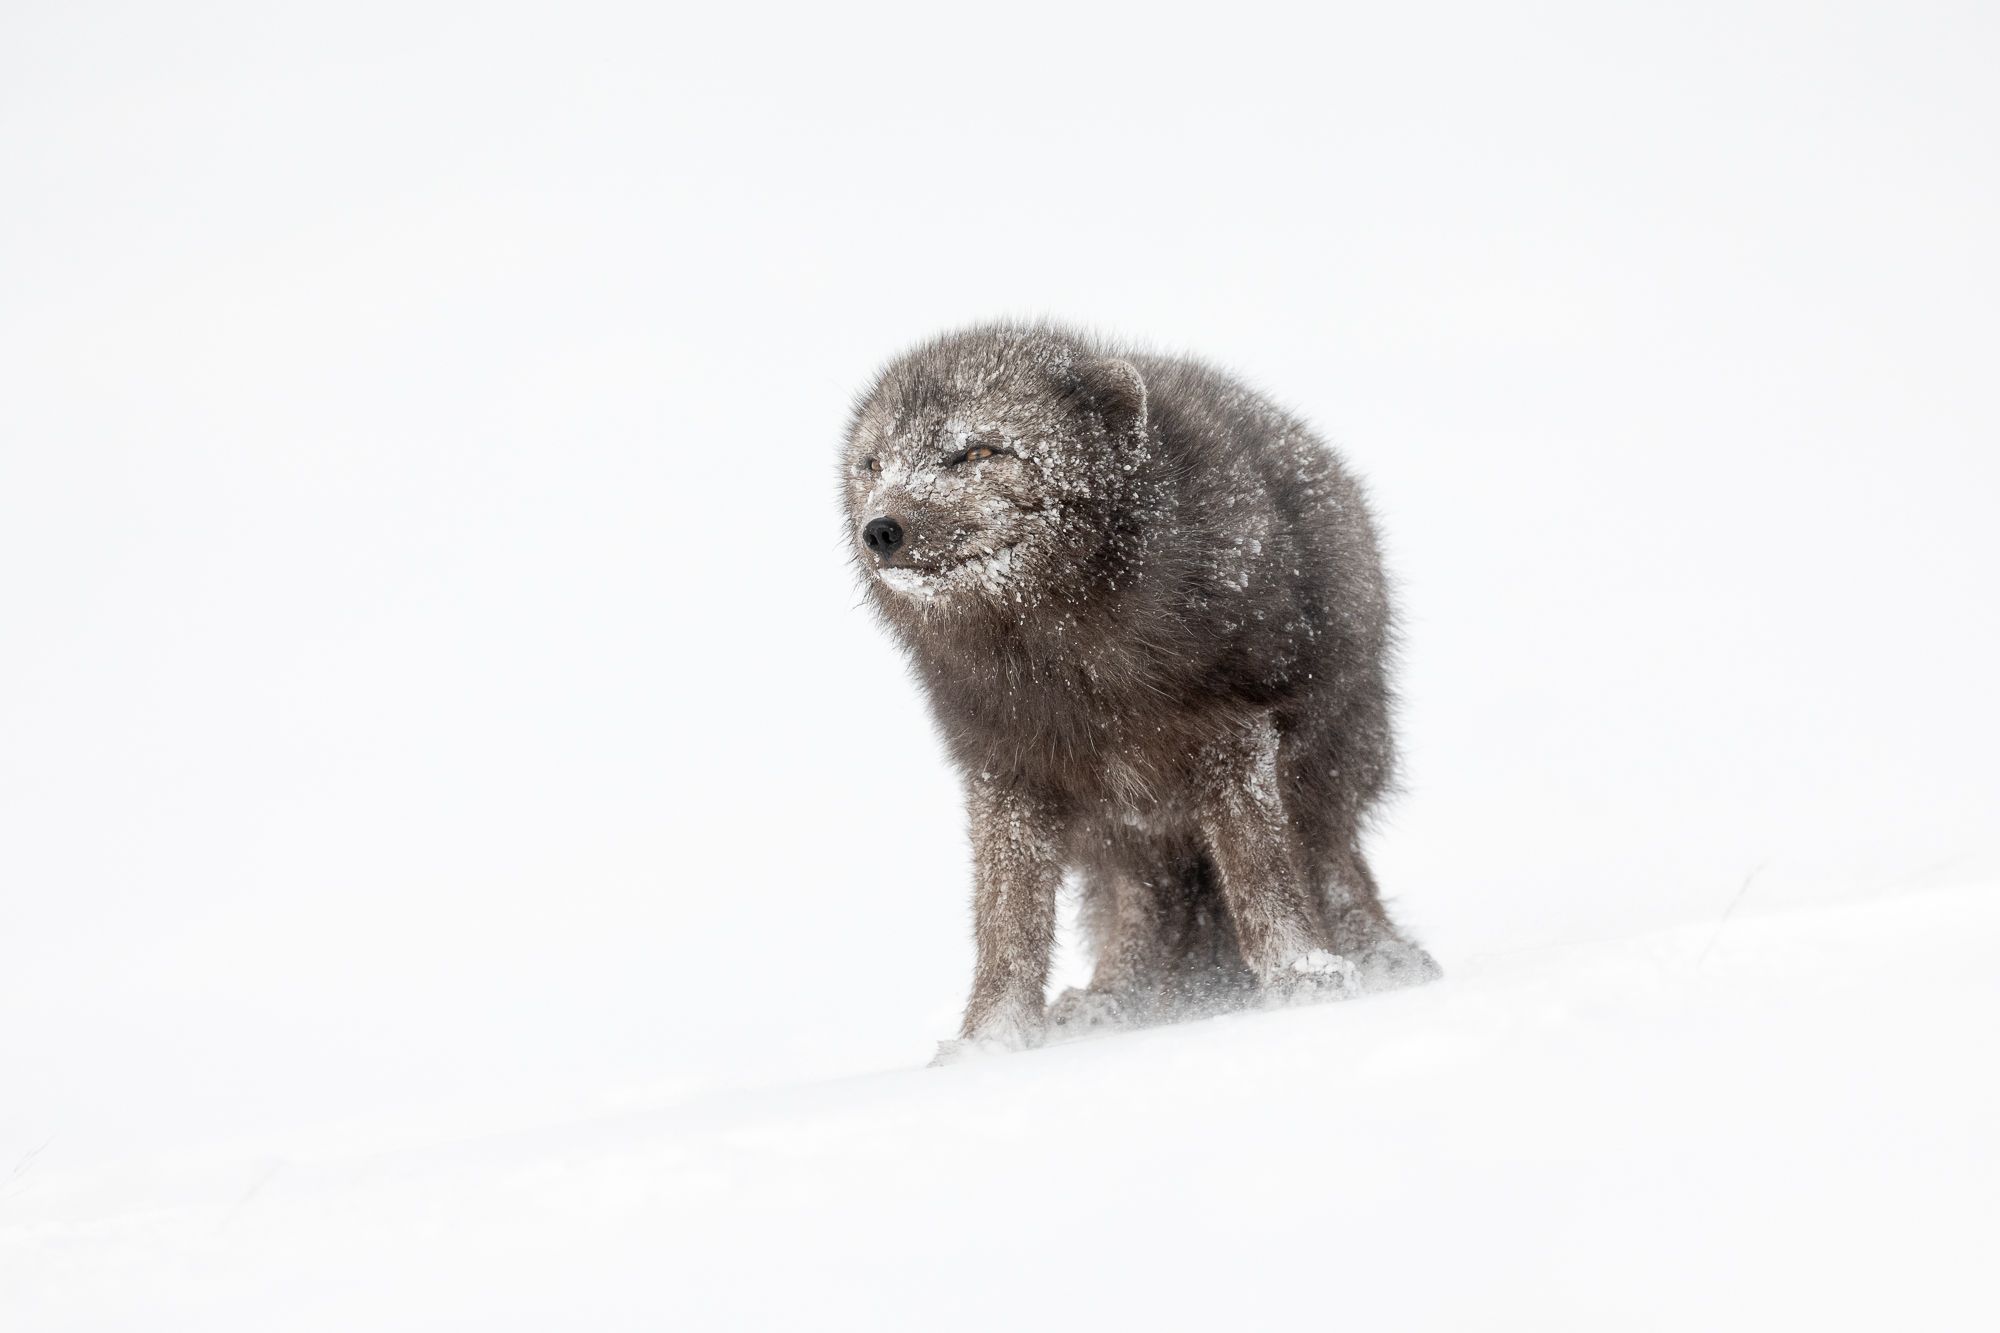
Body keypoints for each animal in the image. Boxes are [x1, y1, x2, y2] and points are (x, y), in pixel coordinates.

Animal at [840, 322, 1440, 1063]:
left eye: (977, 451)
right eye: (872, 465)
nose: (881, 530)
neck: (1068, 670)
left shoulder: (1231, 728)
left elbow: (1264, 870)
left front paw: (1304, 977)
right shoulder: (1004, 765)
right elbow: (1006, 923)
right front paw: (989, 1042)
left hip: (1321, 765)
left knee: (1328, 860)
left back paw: (1381, 957)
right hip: (1123, 825)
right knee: (1144, 905)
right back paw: (1108, 1006)